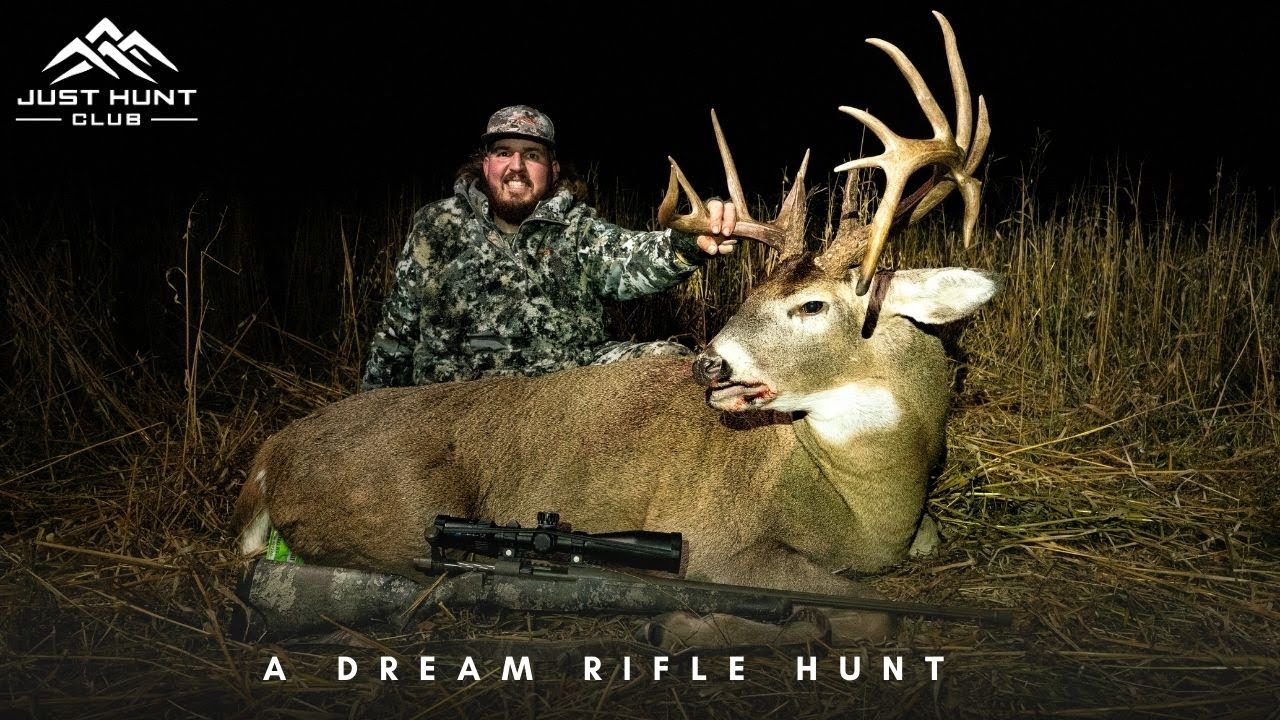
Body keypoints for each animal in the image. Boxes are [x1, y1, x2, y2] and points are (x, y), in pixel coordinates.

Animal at [233, 11, 996, 647]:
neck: (865, 505)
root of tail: (268, 457)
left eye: (810, 306)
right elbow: (870, 614)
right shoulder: (711, 538)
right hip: (400, 514)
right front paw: (687, 624)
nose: (709, 364)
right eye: (757, 294)